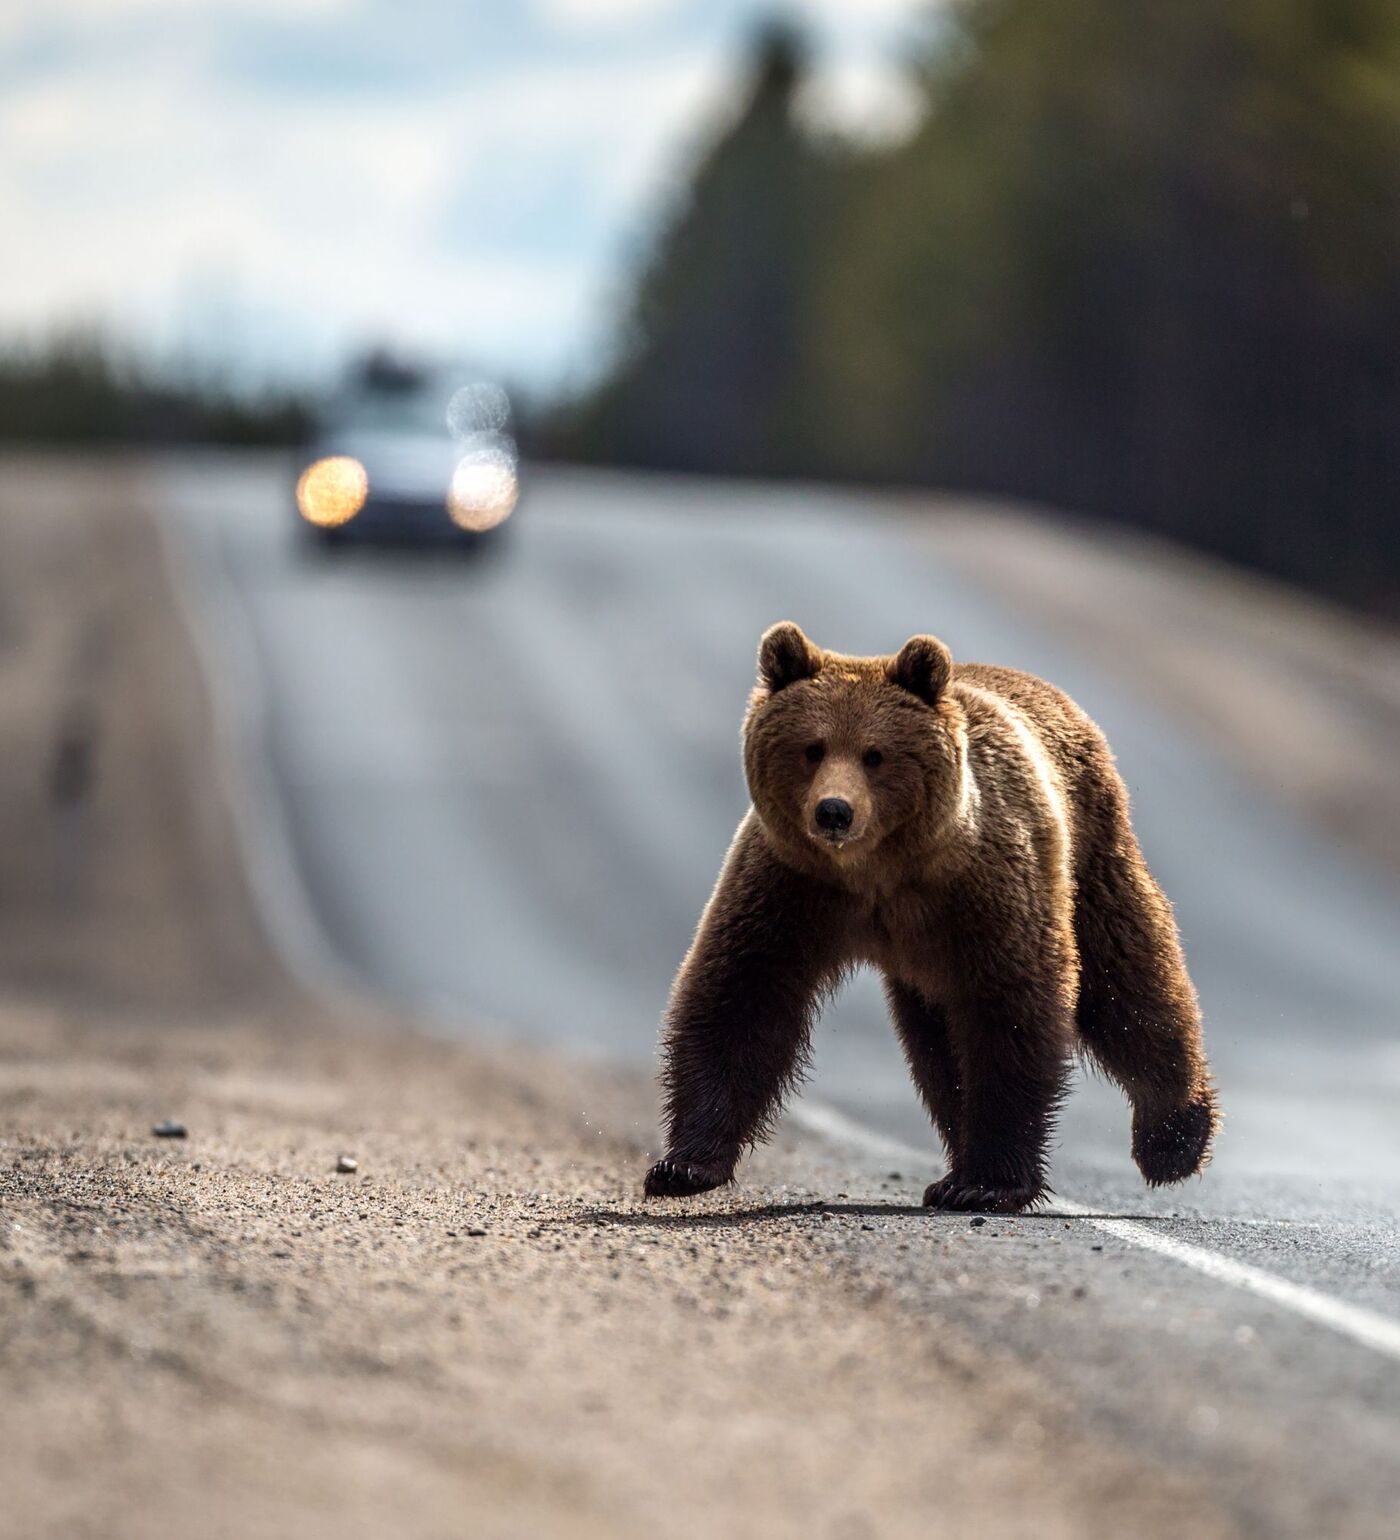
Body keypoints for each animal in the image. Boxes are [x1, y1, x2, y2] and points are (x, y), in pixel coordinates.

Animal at [640, 619, 1213, 1207]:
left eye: (874, 754)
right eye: (812, 748)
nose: (834, 812)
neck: (878, 871)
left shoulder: (983, 891)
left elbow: (1012, 1011)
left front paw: (990, 1184)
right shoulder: (793, 885)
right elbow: (742, 995)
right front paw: (683, 1165)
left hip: (1088, 856)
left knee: (1129, 980)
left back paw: (1173, 1139)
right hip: (929, 966)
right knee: (937, 1047)